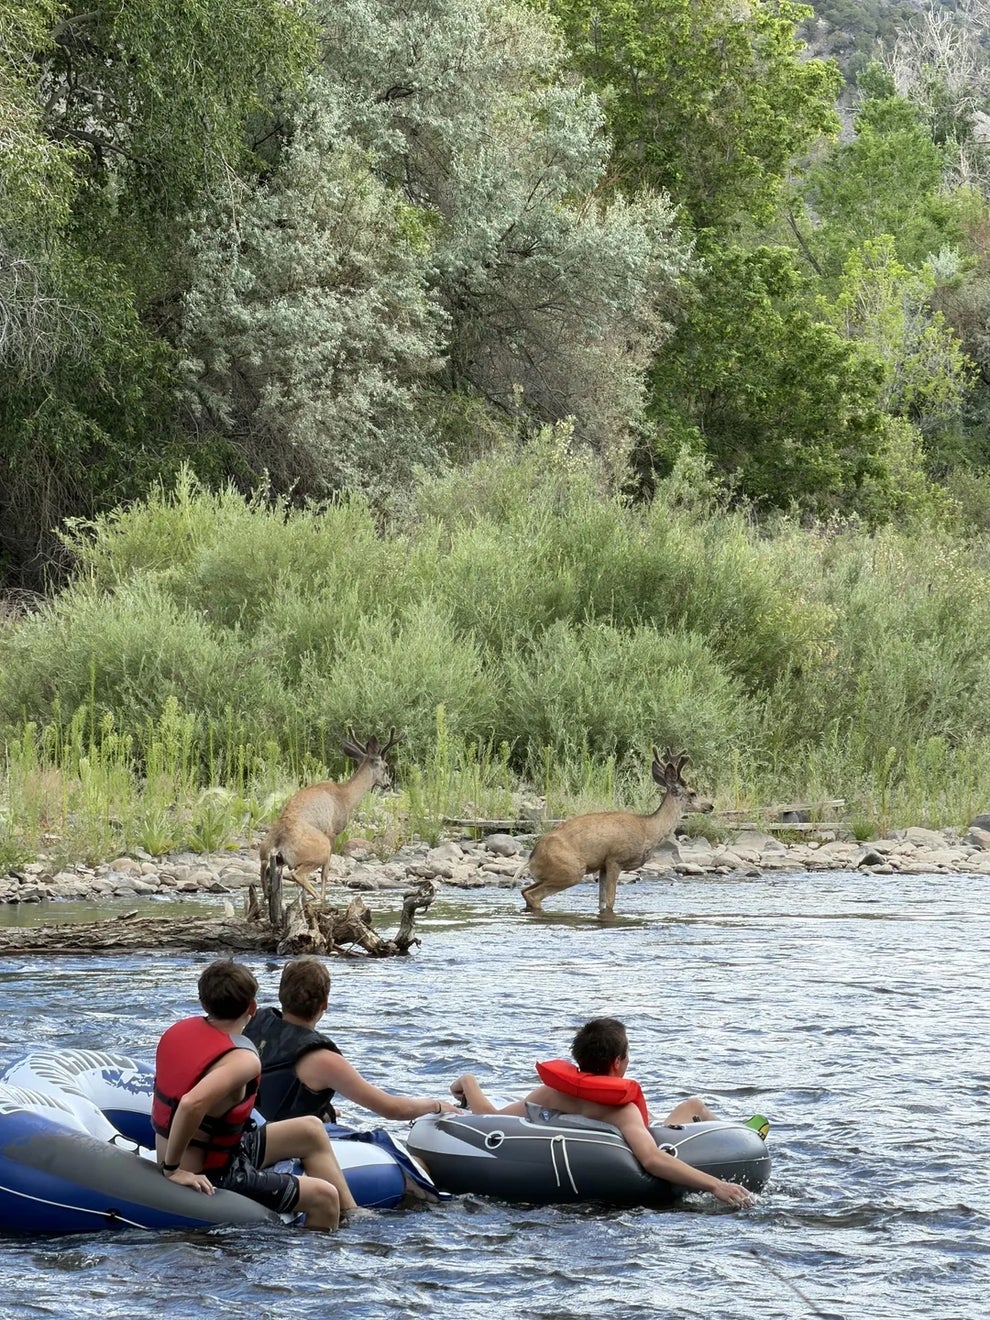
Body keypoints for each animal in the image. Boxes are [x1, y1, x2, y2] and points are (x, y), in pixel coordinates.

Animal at [259, 727, 405, 904]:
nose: (388, 784)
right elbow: (325, 874)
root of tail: (277, 840)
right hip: (319, 849)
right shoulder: (333, 832)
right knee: (299, 874)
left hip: (268, 861)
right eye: (386, 766)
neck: (346, 797)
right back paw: (320, 898)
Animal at [517, 748, 713, 916]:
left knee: (524, 890)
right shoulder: (615, 859)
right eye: (693, 793)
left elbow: (602, 902)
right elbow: (611, 901)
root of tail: (532, 857)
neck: (649, 829)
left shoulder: (602, 865)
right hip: (571, 870)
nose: (710, 805)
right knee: (533, 895)